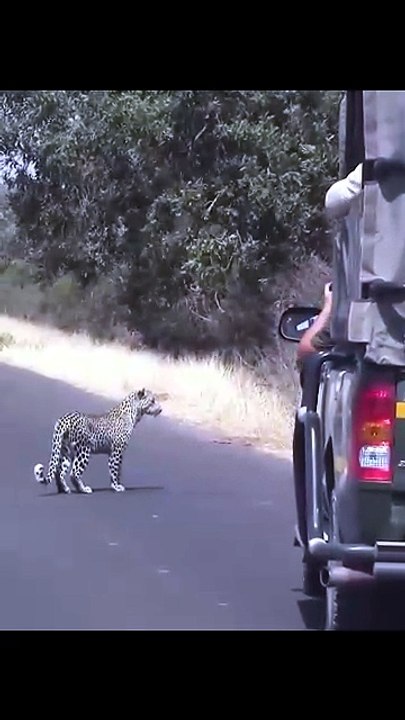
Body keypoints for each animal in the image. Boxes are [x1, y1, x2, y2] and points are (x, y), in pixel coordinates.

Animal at [34, 389, 162, 494]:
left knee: (58, 472)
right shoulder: (117, 451)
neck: (134, 414)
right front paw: (117, 486)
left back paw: (64, 489)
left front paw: (116, 485)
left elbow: (116, 470)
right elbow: (115, 470)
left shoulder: (113, 452)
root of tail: (63, 419)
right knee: (74, 472)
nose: (160, 409)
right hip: (83, 451)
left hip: (65, 451)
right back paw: (83, 489)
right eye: (152, 401)